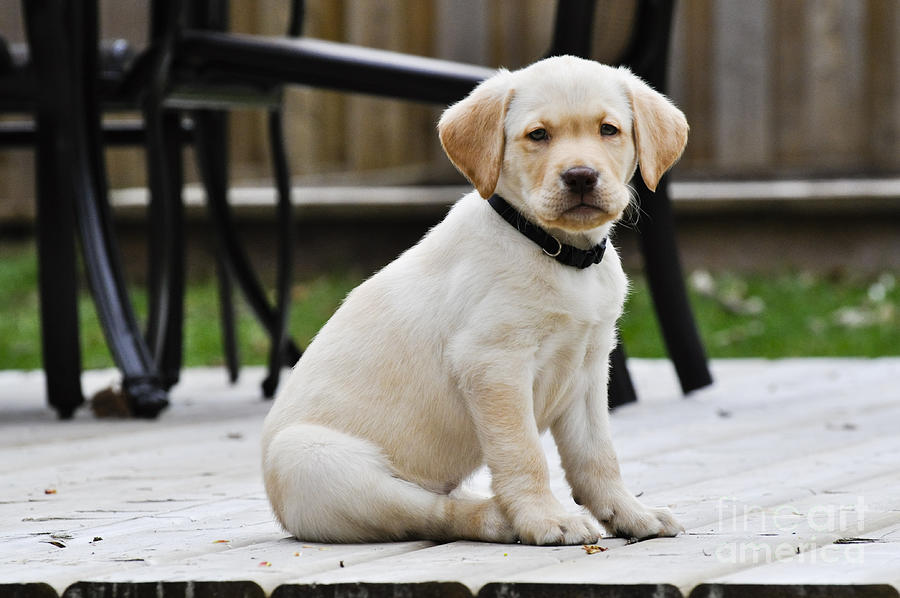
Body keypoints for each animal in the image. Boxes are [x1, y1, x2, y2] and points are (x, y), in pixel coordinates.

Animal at [264, 56, 684, 548]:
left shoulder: (588, 366)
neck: (555, 250)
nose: (580, 176)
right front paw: (545, 518)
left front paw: (630, 513)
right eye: (538, 135)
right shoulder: (493, 363)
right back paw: (500, 519)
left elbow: (598, 456)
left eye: (609, 130)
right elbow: (523, 453)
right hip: (315, 461)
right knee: (433, 513)